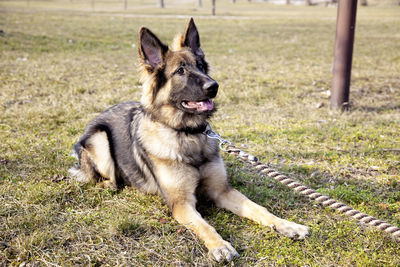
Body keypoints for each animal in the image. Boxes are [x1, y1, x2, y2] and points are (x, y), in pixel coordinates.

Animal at [69, 19, 308, 264]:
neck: (187, 134)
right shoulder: (181, 204)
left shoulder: (222, 191)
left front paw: (287, 225)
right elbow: (205, 226)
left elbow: (258, 208)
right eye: (180, 71)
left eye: (201, 66)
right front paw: (220, 245)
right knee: (101, 177)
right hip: (100, 139)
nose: (214, 86)